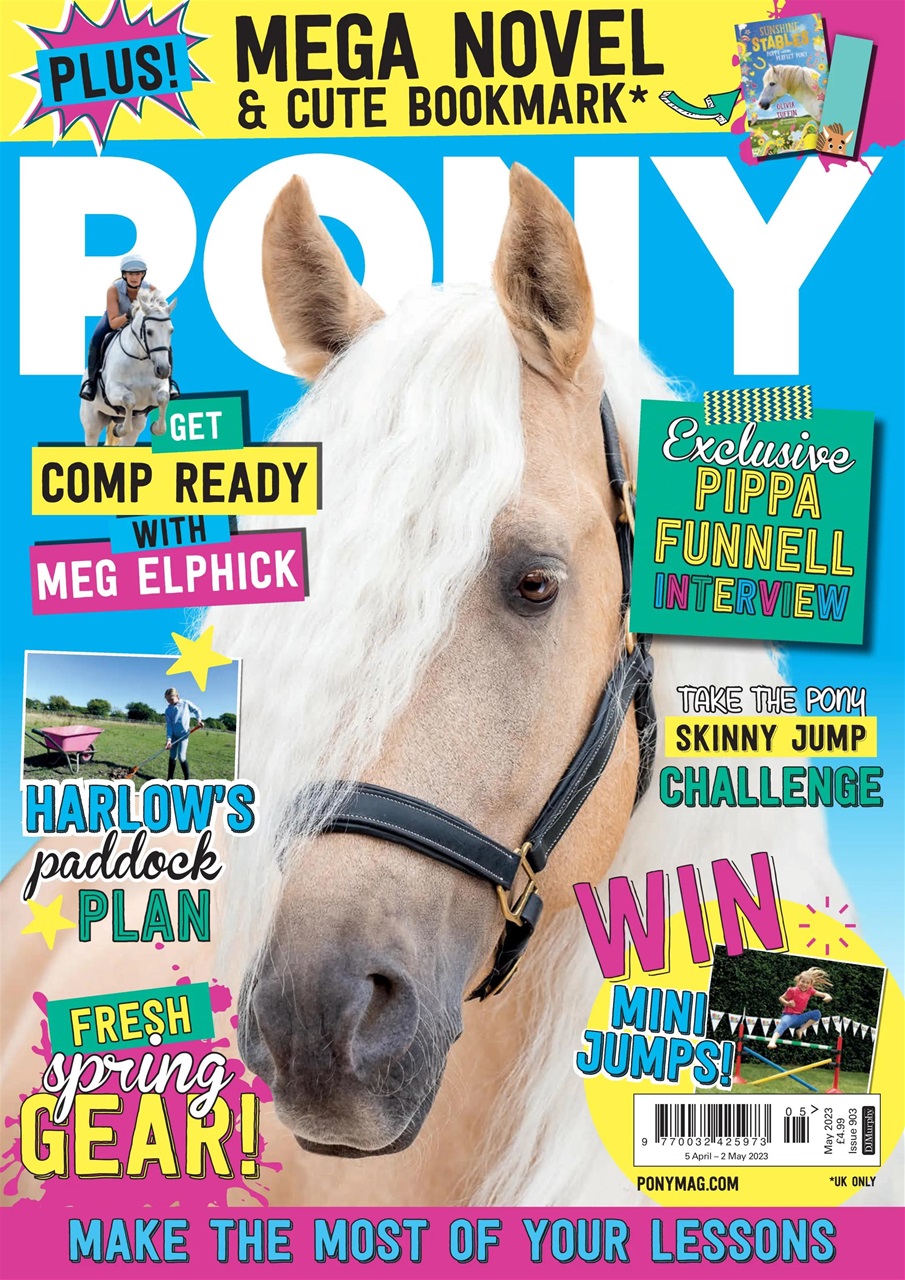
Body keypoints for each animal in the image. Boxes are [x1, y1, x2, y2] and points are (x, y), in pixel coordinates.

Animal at [79, 289, 176, 446]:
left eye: (171, 331)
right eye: (149, 331)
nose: (163, 370)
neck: (140, 359)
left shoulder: (156, 392)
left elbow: (163, 398)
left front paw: (157, 428)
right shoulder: (113, 391)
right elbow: (129, 399)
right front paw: (120, 429)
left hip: (137, 425)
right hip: (92, 423)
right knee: (92, 434)